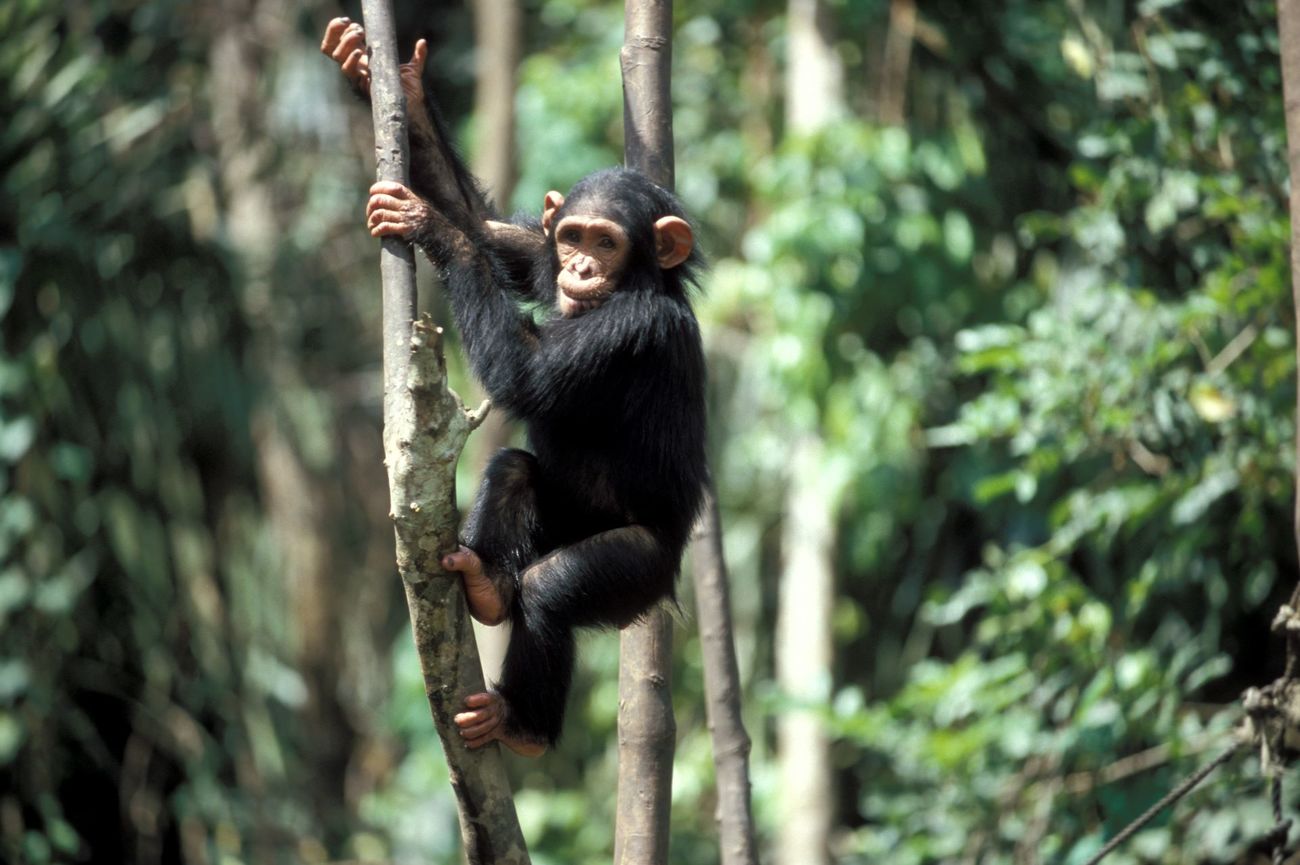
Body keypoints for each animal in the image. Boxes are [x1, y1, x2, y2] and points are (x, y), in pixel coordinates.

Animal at [325, 16, 712, 754]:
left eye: (608, 242)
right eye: (573, 236)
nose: (581, 267)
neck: (635, 282)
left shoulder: (630, 328)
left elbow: (526, 375)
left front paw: (428, 226)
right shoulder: (538, 254)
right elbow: (492, 233)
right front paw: (386, 77)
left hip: (639, 572)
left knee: (555, 588)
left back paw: (523, 723)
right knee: (513, 470)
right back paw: (486, 584)